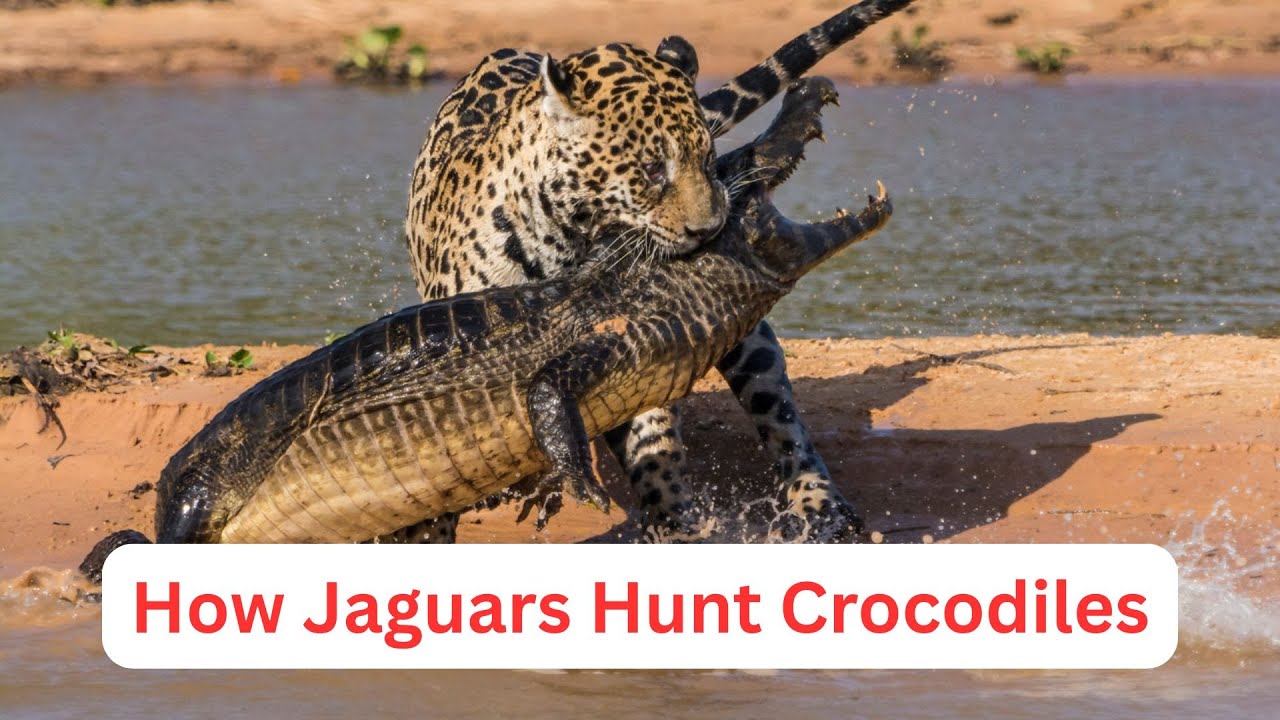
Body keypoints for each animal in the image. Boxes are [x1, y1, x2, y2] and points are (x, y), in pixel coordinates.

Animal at [395, 0, 917, 544]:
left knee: (784, 422)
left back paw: (823, 507)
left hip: (752, 346)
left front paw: (670, 517)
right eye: (651, 170)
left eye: (708, 160)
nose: (710, 230)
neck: (570, 241)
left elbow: (653, 436)